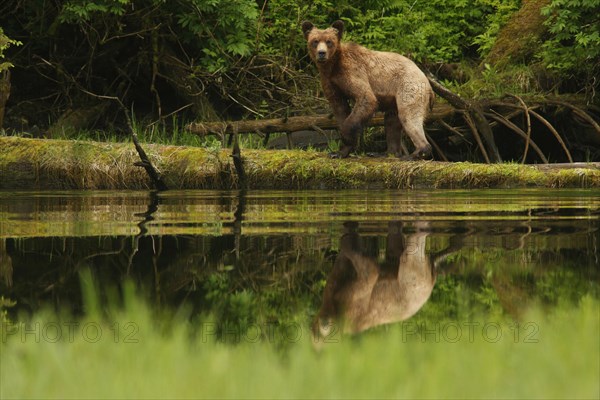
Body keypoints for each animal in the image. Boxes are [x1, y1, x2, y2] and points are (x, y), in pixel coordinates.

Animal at [302, 20, 434, 159]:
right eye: (315, 41)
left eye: (329, 41)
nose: (321, 53)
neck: (332, 67)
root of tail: (427, 81)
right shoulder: (331, 83)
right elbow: (340, 109)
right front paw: (339, 152)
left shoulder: (352, 72)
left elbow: (366, 98)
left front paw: (345, 139)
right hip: (394, 99)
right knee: (392, 122)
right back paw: (385, 153)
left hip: (408, 87)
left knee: (408, 116)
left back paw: (414, 153)